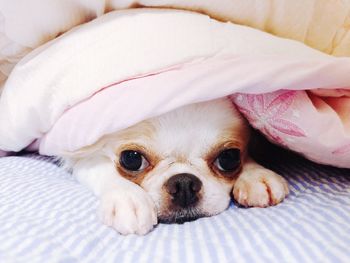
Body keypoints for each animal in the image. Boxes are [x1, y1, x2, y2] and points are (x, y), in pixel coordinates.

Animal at [60, 98, 290, 236]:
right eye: (132, 159)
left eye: (229, 158)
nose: (184, 184)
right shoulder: (79, 156)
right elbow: (103, 170)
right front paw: (128, 197)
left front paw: (255, 174)